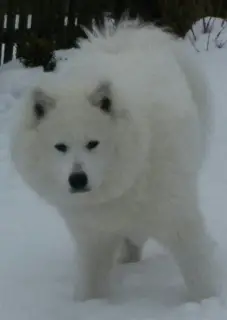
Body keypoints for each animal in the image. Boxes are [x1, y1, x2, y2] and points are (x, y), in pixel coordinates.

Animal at [10, 18, 220, 302]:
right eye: (60, 147)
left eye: (93, 143)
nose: (77, 179)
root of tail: (120, 42)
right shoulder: (94, 237)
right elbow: (91, 280)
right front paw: (89, 305)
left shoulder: (179, 219)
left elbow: (198, 270)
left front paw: (207, 301)